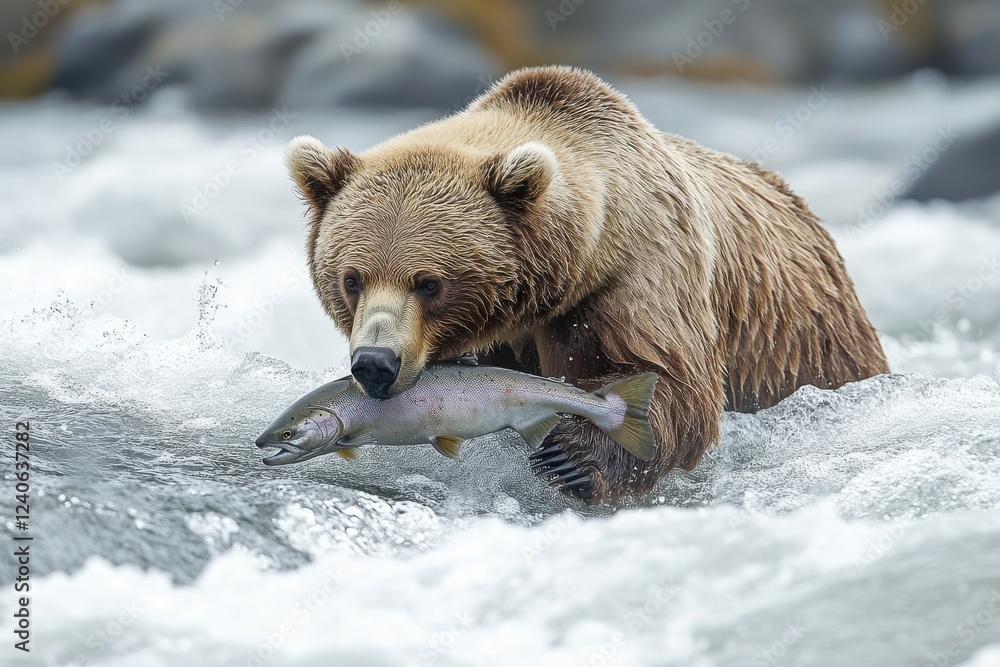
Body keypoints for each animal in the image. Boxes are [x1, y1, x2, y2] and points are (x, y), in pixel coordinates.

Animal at [285, 66, 889, 504]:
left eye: (428, 283)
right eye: (352, 278)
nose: (374, 363)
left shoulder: (640, 276)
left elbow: (670, 379)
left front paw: (572, 459)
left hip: (808, 346)